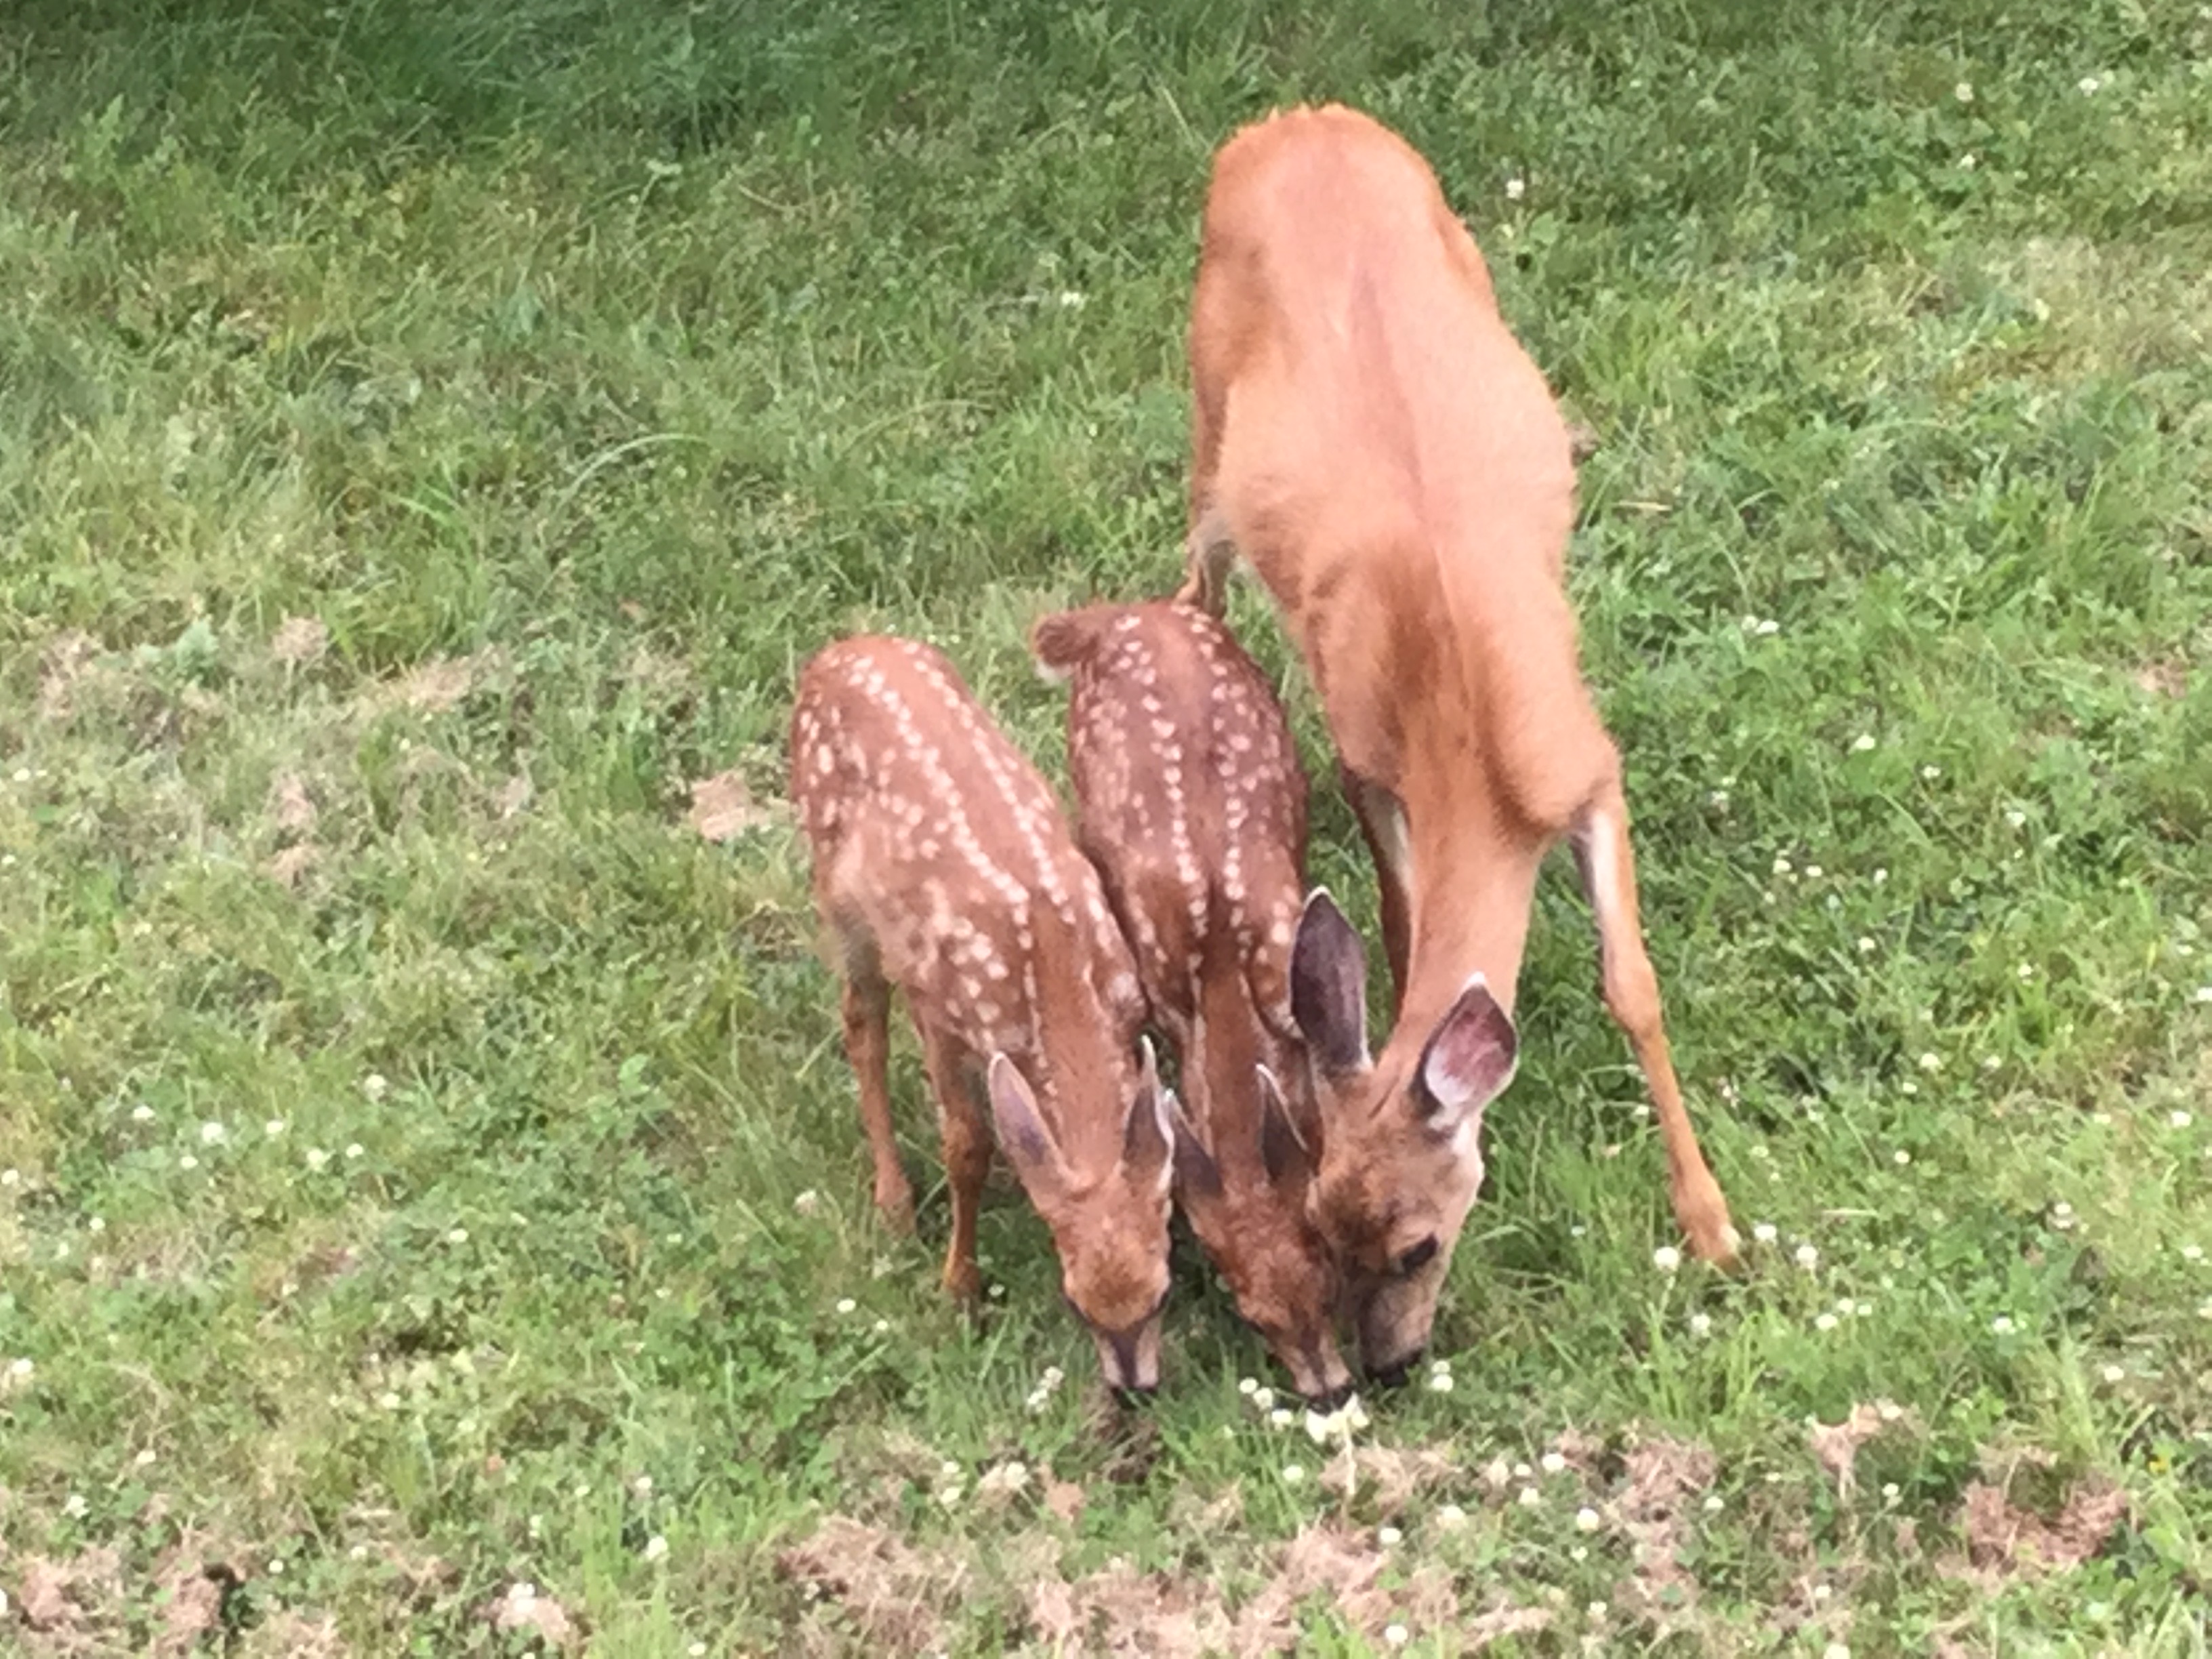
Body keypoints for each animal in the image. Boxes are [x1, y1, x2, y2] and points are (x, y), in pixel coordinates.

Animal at [789, 634, 1178, 1397]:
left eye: (1161, 1292)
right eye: (1074, 1302)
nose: (1133, 1386)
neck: (1053, 974)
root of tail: (838, 651)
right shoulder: (940, 1011)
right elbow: (966, 1145)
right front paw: (959, 1287)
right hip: (837, 894)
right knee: (861, 1026)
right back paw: (894, 1203)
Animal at [1174, 103, 1740, 1385]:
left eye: (1417, 1243)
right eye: (1316, 1225)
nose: (1387, 1364)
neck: (1468, 740)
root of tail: (1287, 123)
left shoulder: (1585, 761)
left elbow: (1633, 986)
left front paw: (1713, 1223)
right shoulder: (1363, 754)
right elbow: (1399, 916)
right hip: (1206, 404)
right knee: (1196, 569)